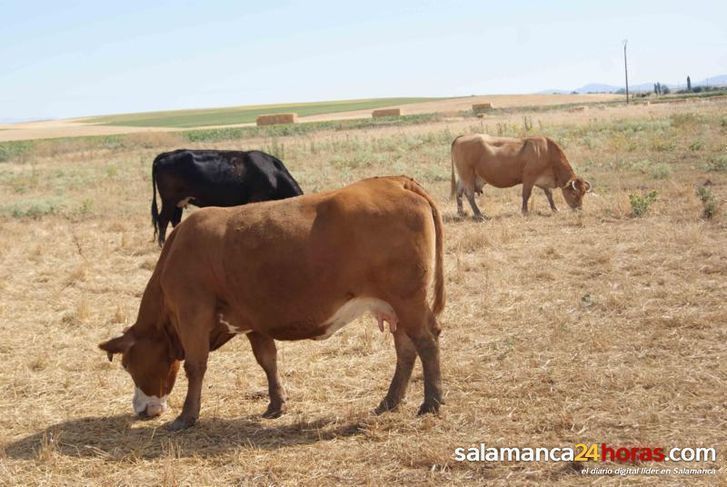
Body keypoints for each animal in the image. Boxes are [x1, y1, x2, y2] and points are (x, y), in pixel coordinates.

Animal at [99, 175, 446, 430]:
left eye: (128, 365)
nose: (140, 410)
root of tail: (395, 181)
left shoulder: (192, 313)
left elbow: (195, 366)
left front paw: (186, 417)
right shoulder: (252, 319)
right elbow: (267, 360)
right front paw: (276, 404)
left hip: (408, 300)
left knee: (426, 342)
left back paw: (431, 402)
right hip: (394, 306)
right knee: (406, 349)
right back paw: (390, 402)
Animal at [151, 149, 304, 246]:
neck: (273, 174)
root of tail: (167, 154)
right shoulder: (257, 199)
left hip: (179, 202)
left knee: (175, 220)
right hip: (169, 200)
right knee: (163, 220)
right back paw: (162, 245)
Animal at [452, 132, 596, 218]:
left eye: (583, 193)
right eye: (574, 193)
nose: (579, 209)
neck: (546, 151)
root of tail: (461, 137)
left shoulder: (543, 181)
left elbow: (549, 195)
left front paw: (555, 209)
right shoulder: (529, 178)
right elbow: (526, 195)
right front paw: (525, 211)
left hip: (463, 177)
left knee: (459, 193)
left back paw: (461, 213)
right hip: (467, 175)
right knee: (469, 194)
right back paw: (479, 215)